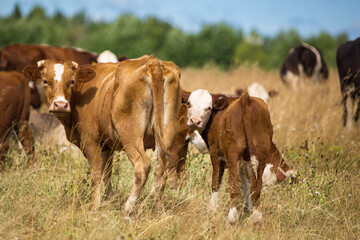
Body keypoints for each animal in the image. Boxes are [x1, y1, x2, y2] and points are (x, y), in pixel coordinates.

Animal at [22, 55, 181, 214]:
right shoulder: (107, 145)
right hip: (166, 135)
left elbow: (96, 172)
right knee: (161, 170)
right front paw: (109, 198)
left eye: (71, 81)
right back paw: (159, 208)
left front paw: (94, 205)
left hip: (130, 136)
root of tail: (153, 62)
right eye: (45, 81)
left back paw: (128, 207)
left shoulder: (90, 140)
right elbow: (107, 172)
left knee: (142, 166)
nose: (60, 105)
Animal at [184, 89, 296, 224]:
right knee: (256, 185)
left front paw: (211, 209)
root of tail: (246, 99)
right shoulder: (244, 162)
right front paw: (249, 209)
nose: (195, 121)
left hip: (233, 154)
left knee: (234, 184)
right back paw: (257, 217)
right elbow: (246, 184)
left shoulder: (216, 153)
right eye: (189, 103)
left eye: (208, 108)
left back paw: (232, 217)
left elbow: (216, 181)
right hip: (260, 153)